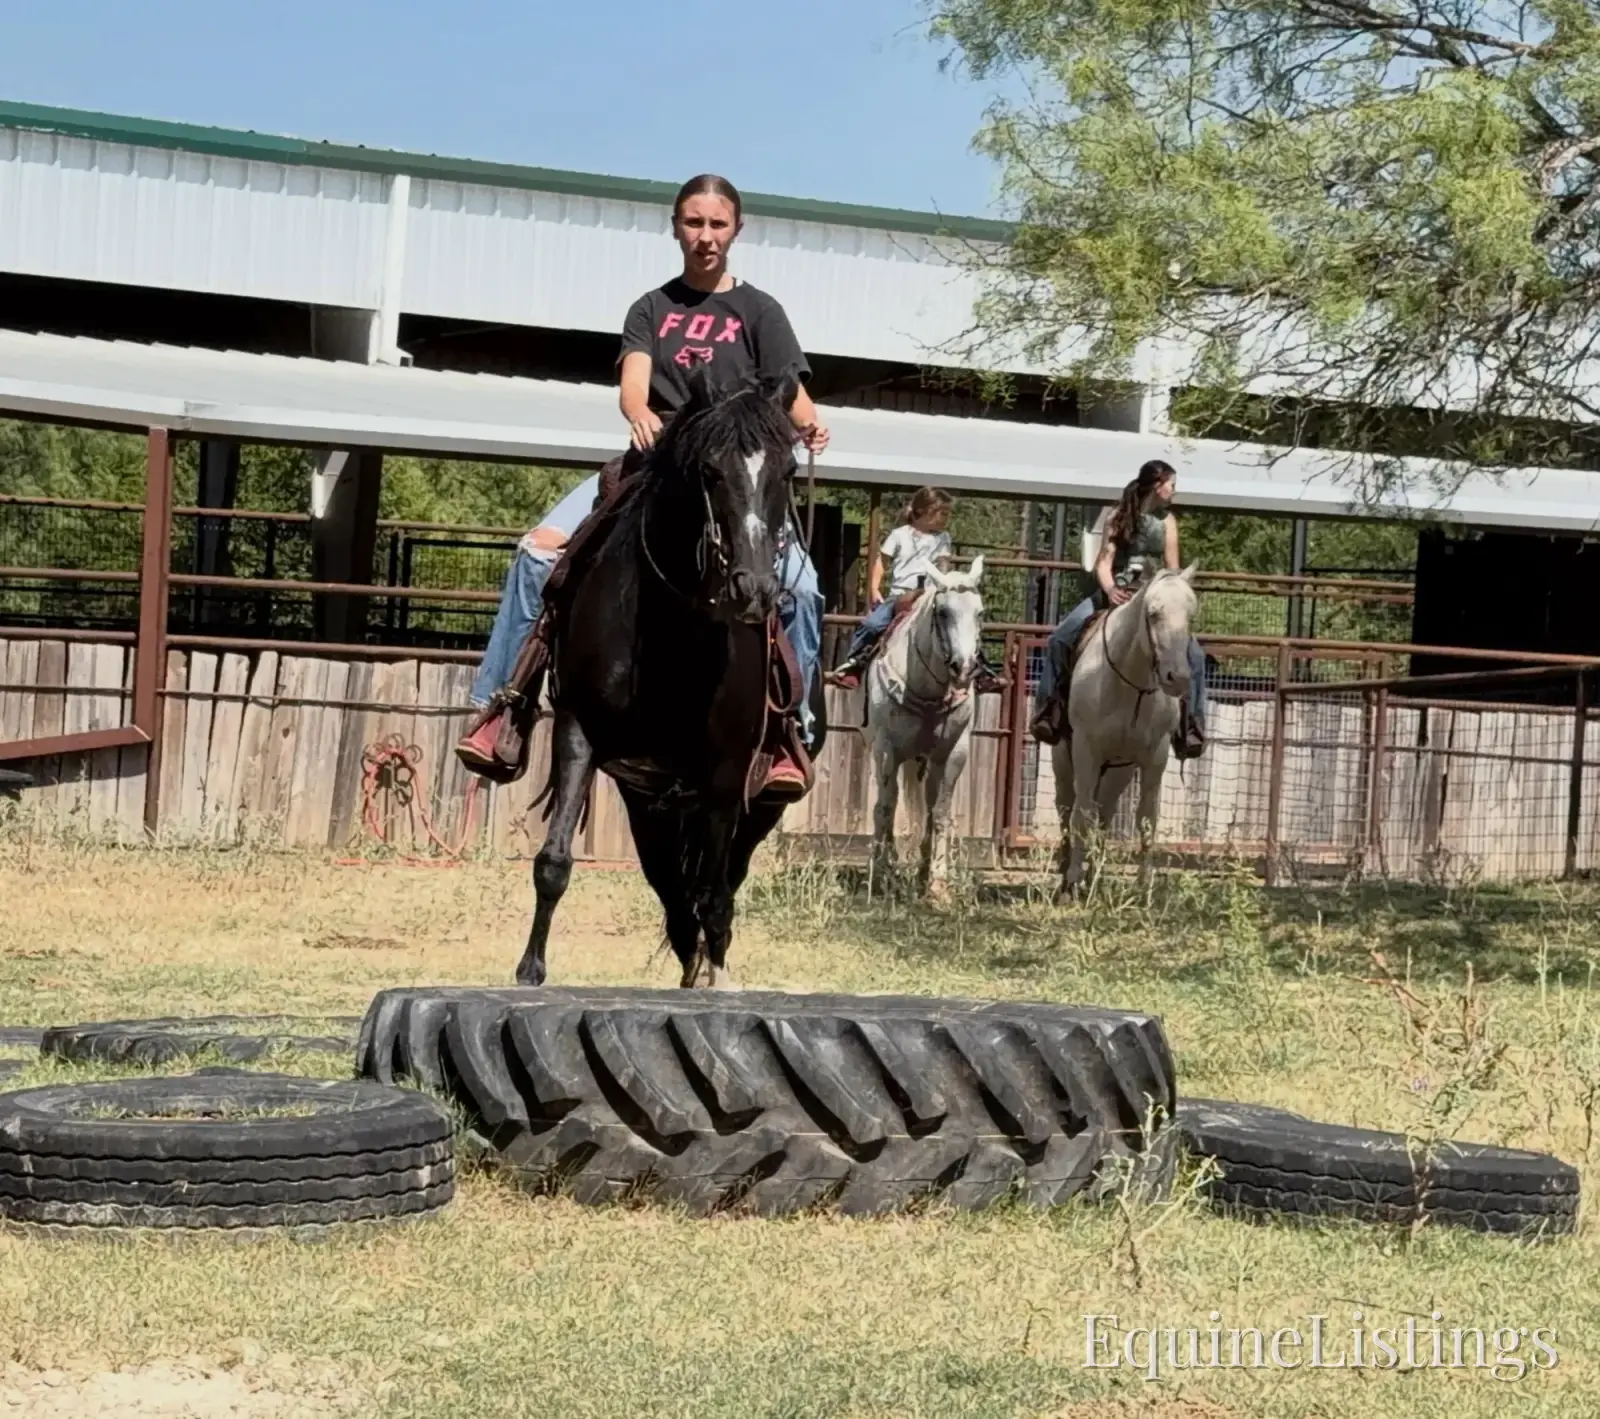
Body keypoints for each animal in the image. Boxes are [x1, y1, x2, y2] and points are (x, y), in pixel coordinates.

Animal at [517, 372, 826, 989]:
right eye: (709, 470)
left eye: (786, 471)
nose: (753, 589)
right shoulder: (580, 732)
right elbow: (555, 862)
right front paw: (530, 971)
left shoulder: (729, 770)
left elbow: (715, 895)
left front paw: (718, 978)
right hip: (649, 800)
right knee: (673, 890)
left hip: (757, 804)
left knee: (720, 883)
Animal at [862, 558, 986, 900]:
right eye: (942, 612)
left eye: (979, 613)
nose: (964, 667)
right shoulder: (886, 750)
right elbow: (886, 807)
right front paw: (882, 872)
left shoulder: (954, 753)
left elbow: (940, 812)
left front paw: (937, 883)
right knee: (884, 803)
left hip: (930, 761)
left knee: (929, 804)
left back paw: (921, 873)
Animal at [1050, 565, 1199, 901]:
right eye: (1153, 613)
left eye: (1191, 614)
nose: (1178, 678)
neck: (1130, 683)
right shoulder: (1085, 750)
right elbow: (1081, 815)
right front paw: (1072, 881)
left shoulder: (1155, 756)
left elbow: (1146, 820)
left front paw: (1144, 887)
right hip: (1064, 761)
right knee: (1067, 810)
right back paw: (1067, 874)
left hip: (1119, 770)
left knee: (1104, 814)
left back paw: (1094, 875)